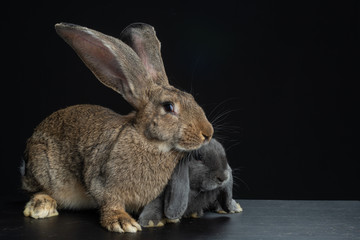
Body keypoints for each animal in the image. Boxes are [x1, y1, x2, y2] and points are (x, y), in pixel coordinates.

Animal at [21, 22, 212, 232]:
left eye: (192, 99)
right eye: (169, 107)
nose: (208, 133)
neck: (148, 141)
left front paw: (161, 219)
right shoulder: (103, 181)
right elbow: (109, 202)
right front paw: (122, 222)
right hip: (43, 167)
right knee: (39, 189)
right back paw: (42, 206)